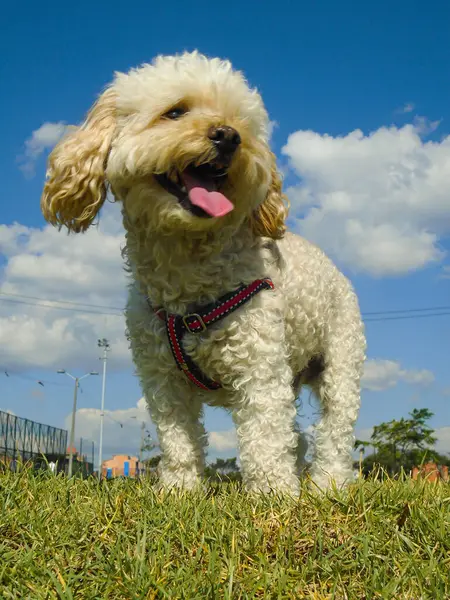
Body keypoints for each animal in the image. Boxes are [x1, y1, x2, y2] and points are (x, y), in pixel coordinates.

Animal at [41, 51, 366, 494]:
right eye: (175, 112)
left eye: (242, 123)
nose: (229, 136)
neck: (187, 266)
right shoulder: (161, 376)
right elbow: (178, 437)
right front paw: (179, 491)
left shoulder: (260, 365)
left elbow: (266, 436)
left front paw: (273, 497)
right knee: (297, 436)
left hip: (341, 357)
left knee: (334, 428)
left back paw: (326, 485)